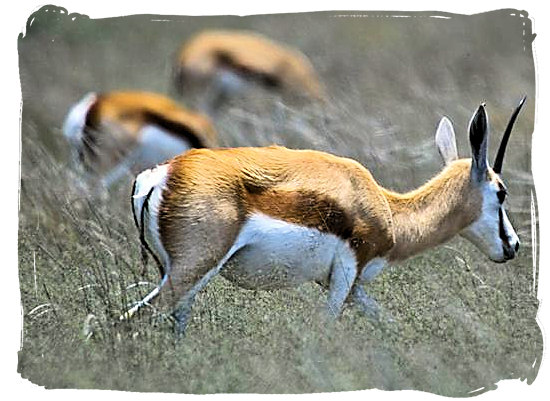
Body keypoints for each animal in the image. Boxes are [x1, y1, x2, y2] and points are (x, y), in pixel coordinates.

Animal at [125, 97, 528, 334]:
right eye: (501, 192)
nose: (513, 245)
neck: (388, 210)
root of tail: (160, 175)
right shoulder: (346, 275)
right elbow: (324, 329)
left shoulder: (350, 286)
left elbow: (391, 325)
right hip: (192, 270)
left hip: (181, 278)